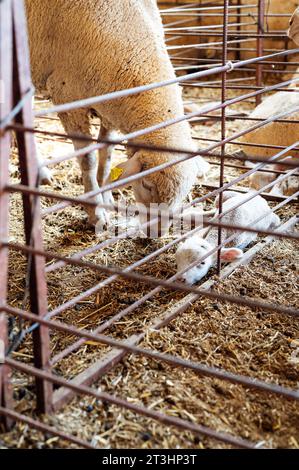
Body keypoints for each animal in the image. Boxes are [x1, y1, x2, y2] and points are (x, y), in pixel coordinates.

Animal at [25, 0, 210, 229]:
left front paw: (107, 198)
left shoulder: (111, 109)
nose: (157, 232)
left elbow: (106, 157)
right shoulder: (67, 97)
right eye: (146, 184)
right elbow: (88, 160)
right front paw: (96, 211)